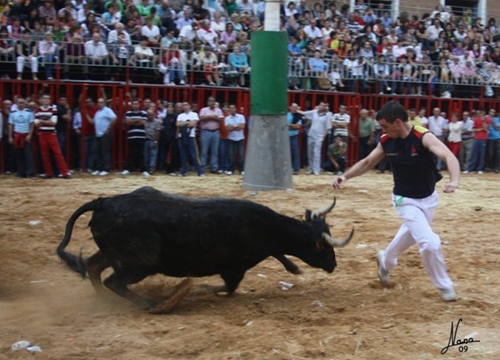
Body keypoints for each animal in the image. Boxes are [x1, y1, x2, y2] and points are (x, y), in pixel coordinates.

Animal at [56, 186, 354, 312]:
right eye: (323, 248)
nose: (334, 265)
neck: (264, 226)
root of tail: (104, 201)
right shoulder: (235, 268)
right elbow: (228, 288)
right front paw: (199, 288)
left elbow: (278, 253)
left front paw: (294, 268)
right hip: (138, 264)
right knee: (113, 281)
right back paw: (154, 305)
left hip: (113, 255)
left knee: (93, 267)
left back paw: (102, 302)